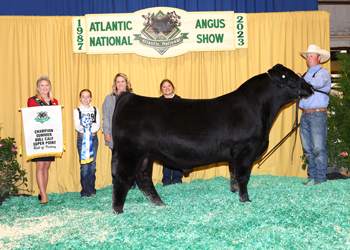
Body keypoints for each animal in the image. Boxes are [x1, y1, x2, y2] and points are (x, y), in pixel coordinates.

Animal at [110, 64, 314, 213]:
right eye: (292, 77)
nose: (311, 87)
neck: (258, 107)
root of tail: (131, 98)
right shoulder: (245, 150)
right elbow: (243, 176)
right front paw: (246, 200)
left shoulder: (235, 155)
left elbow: (233, 175)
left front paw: (235, 193)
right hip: (130, 153)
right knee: (122, 179)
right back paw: (118, 210)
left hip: (146, 156)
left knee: (144, 179)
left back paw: (159, 204)